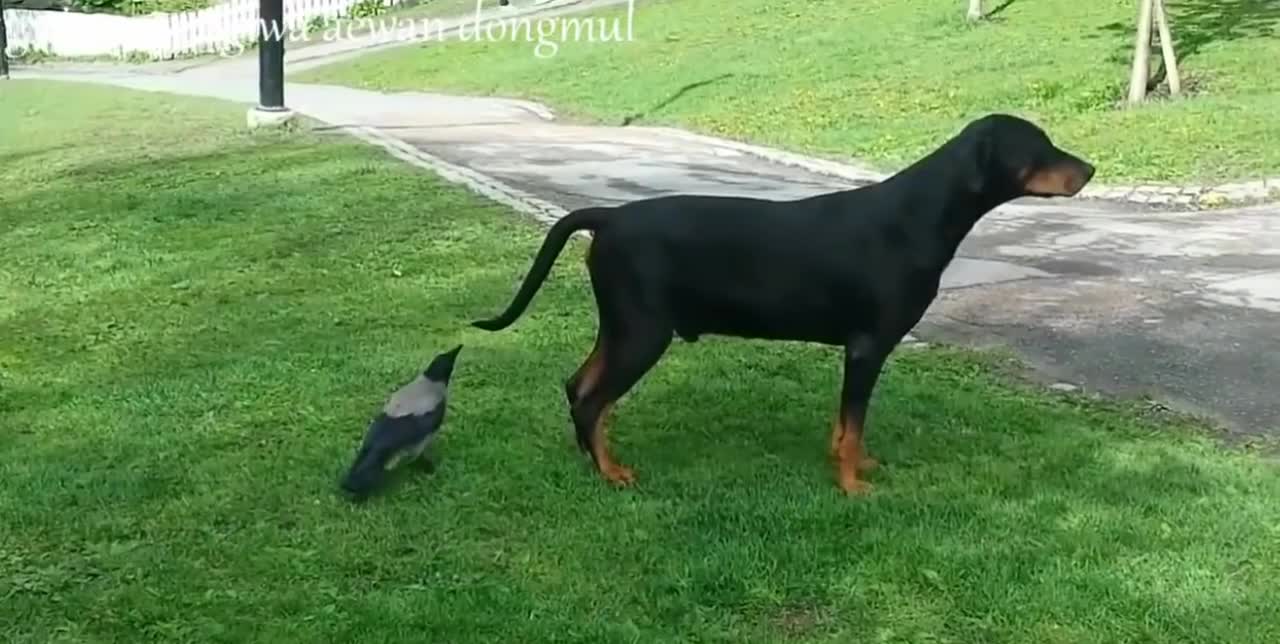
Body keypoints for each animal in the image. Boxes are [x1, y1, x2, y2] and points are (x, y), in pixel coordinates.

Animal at [476, 113, 1095, 494]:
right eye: (1038, 145)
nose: (1090, 169)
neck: (919, 214)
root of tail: (608, 217)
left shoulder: (857, 352)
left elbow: (848, 428)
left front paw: (856, 464)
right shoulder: (866, 348)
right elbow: (853, 424)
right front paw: (852, 485)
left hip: (624, 327)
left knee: (577, 386)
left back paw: (589, 458)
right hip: (644, 333)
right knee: (591, 399)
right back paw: (610, 473)